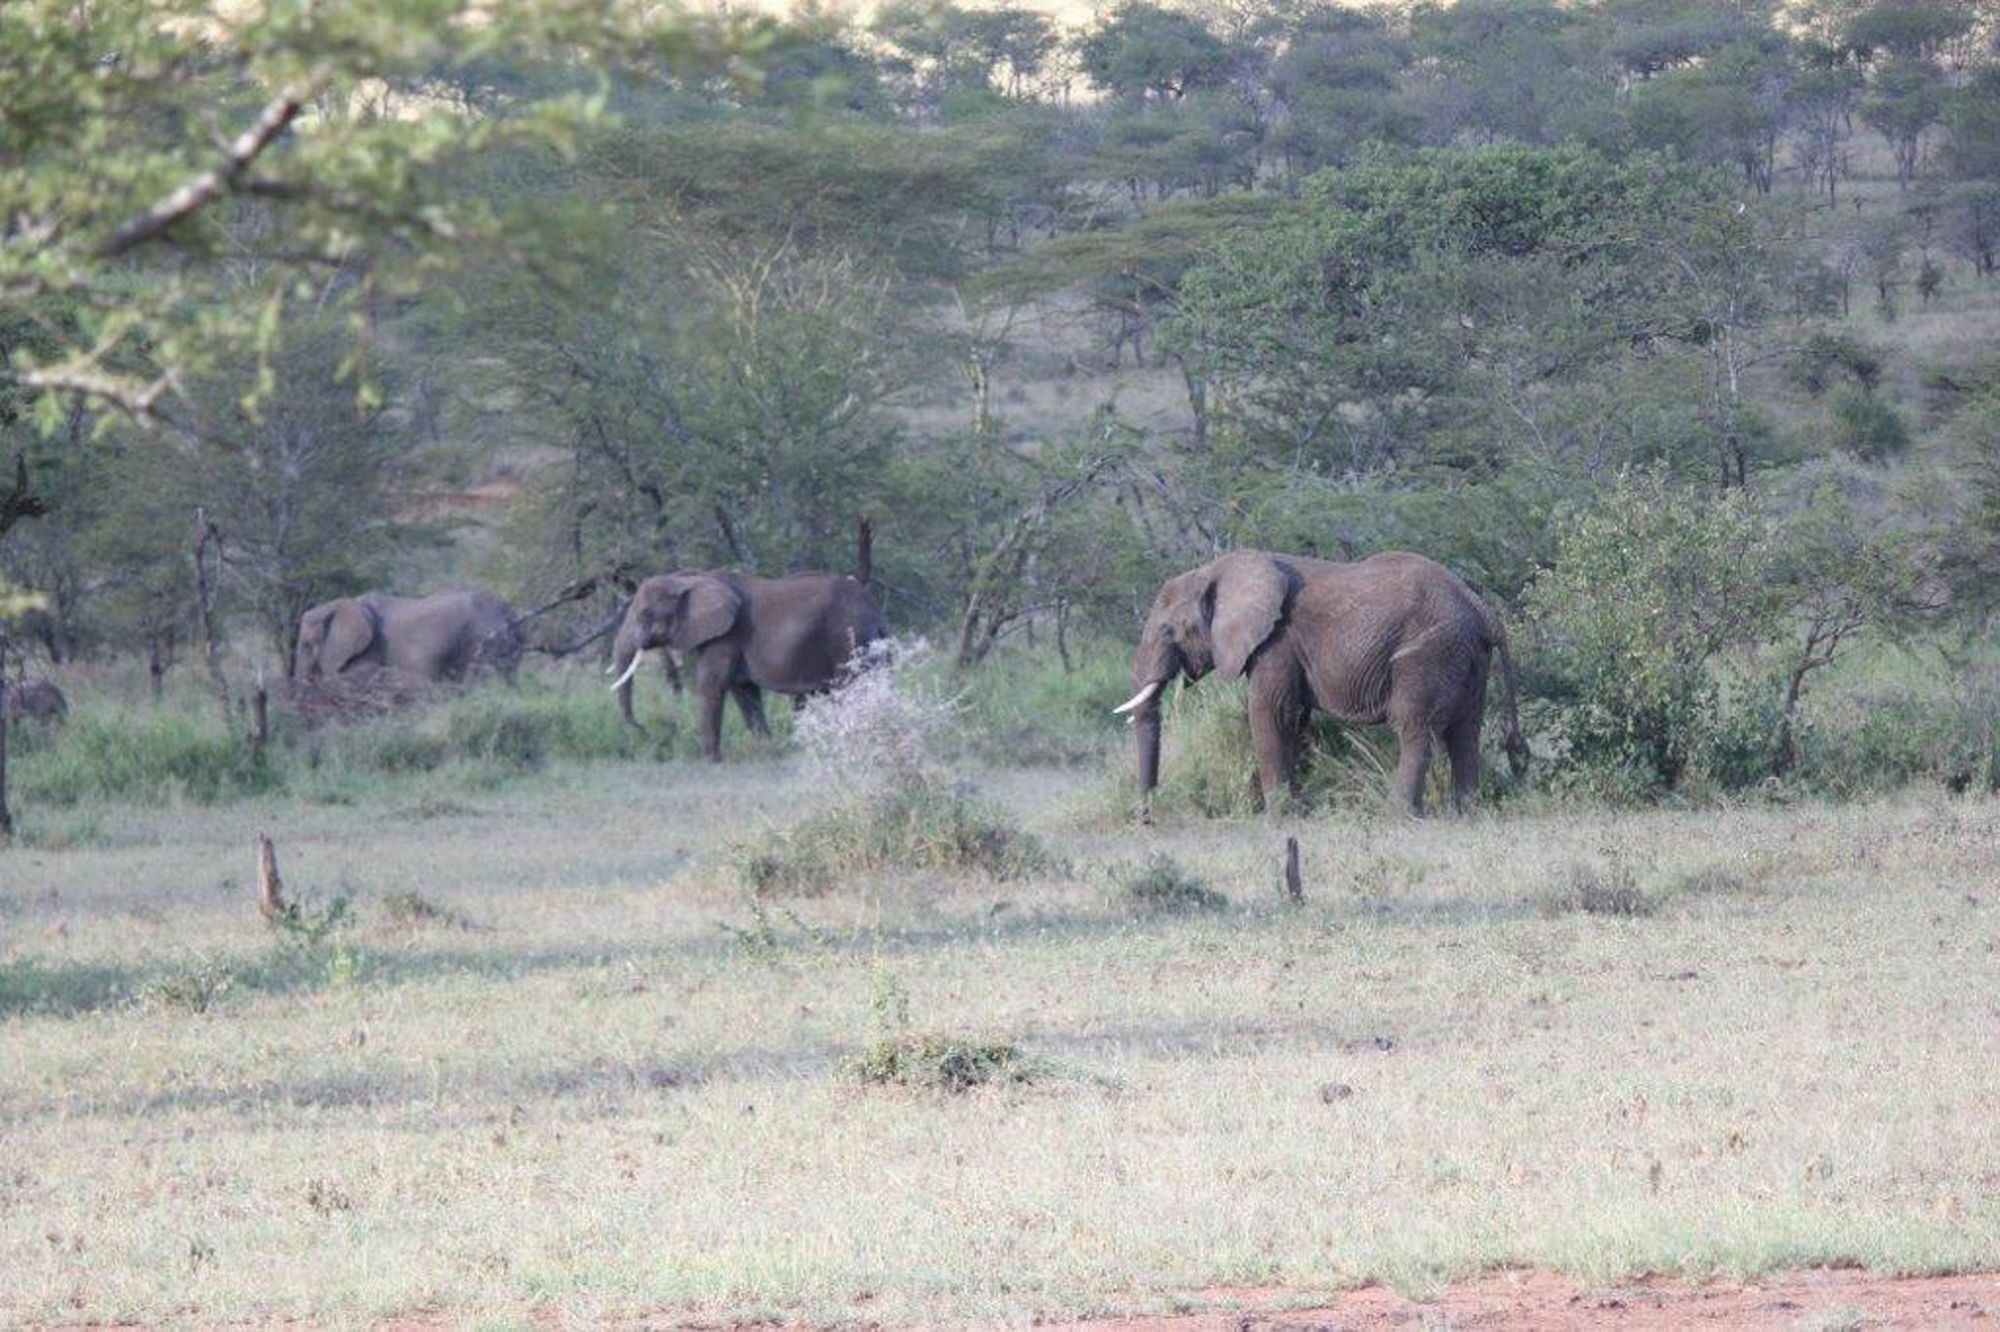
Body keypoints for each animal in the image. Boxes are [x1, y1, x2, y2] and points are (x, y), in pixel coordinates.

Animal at [604, 568, 888, 756]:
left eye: (644, 615)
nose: (642, 729)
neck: (690, 578)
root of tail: (874, 610)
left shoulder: (725, 636)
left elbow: (711, 687)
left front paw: (711, 760)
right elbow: (744, 691)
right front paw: (765, 748)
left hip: (849, 641)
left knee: (852, 687)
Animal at [1112, 548, 1528, 808]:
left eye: (1169, 631)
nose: (1145, 817)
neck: (1217, 569)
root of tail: (1481, 608)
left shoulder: (1276, 641)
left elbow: (1269, 713)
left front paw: (1281, 817)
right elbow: (1295, 720)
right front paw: (1300, 810)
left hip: (1430, 652)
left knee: (1415, 728)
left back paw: (1397, 813)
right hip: (1468, 656)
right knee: (1465, 731)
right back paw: (1466, 813)